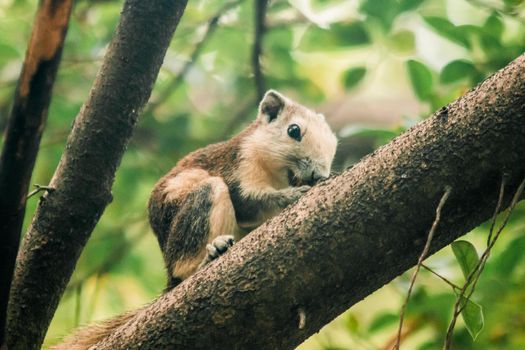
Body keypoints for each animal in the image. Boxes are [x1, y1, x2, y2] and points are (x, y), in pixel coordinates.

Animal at [52, 91, 336, 350]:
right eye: (294, 130)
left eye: (334, 142)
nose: (318, 173)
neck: (277, 175)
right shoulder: (238, 165)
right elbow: (247, 203)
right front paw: (295, 194)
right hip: (200, 205)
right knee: (185, 263)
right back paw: (208, 257)